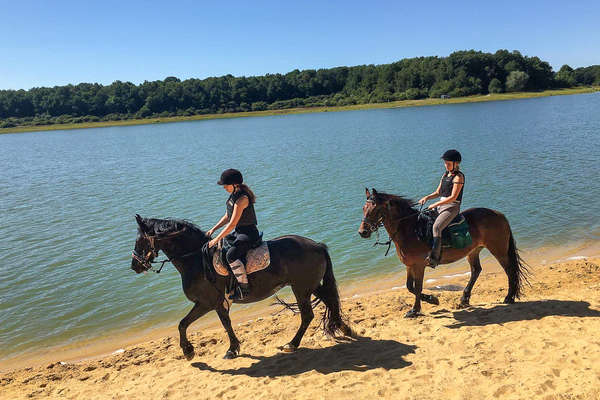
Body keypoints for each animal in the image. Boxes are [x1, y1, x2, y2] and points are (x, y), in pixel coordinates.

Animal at [129, 216, 350, 360]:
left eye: (140, 240)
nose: (134, 266)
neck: (196, 260)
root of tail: (317, 245)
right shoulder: (210, 303)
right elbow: (184, 324)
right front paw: (190, 351)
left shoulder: (209, 302)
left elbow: (219, 324)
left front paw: (227, 349)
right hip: (309, 286)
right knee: (330, 299)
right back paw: (342, 326)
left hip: (301, 289)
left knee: (307, 315)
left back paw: (292, 344)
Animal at [358, 189, 528, 318]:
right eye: (364, 208)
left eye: (374, 209)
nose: (362, 232)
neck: (411, 230)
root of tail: (499, 215)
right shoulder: (409, 266)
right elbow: (409, 286)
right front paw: (432, 299)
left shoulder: (419, 266)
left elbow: (417, 287)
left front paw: (415, 310)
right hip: (474, 250)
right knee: (476, 270)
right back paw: (464, 299)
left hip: (498, 250)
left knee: (509, 271)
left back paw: (509, 297)